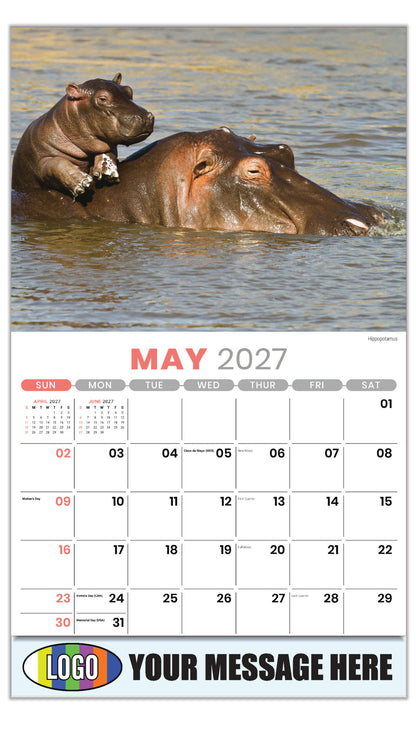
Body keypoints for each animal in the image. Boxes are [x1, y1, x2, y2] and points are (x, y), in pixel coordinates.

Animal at [11, 73, 154, 198]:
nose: (145, 117)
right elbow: (55, 164)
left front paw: (107, 170)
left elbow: (108, 149)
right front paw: (82, 182)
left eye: (129, 90)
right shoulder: (39, 162)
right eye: (102, 99)